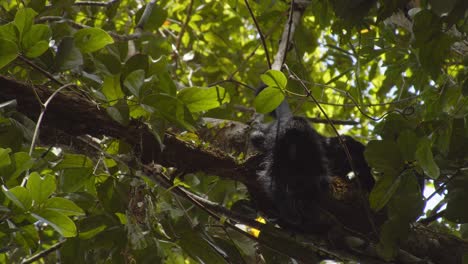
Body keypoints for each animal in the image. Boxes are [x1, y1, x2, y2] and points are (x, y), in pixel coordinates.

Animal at [250, 84, 374, 229]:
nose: (292, 149)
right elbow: (273, 177)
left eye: (298, 143)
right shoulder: (278, 143)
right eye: (289, 141)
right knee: (257, 138)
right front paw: (291, 212)